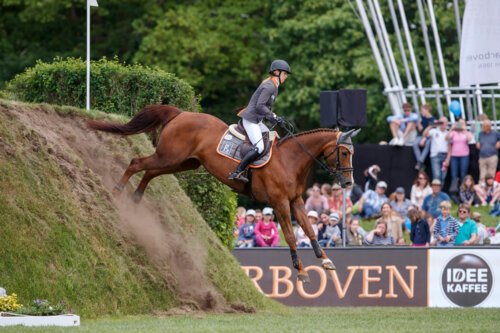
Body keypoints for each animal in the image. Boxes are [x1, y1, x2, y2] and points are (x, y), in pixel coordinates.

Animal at [89, 105, 356, 282]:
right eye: (344, 153)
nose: (348, 183)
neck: (291, 159)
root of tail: (181, 113)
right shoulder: (280, 202)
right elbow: (291, 236)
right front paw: (301, 272)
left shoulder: (296, 201)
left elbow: (309, 230)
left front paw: (326, 261)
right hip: (170, 156)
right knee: (137, 163)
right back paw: (117, 191)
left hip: (182, 162)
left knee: (149, 172)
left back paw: (136, 197)